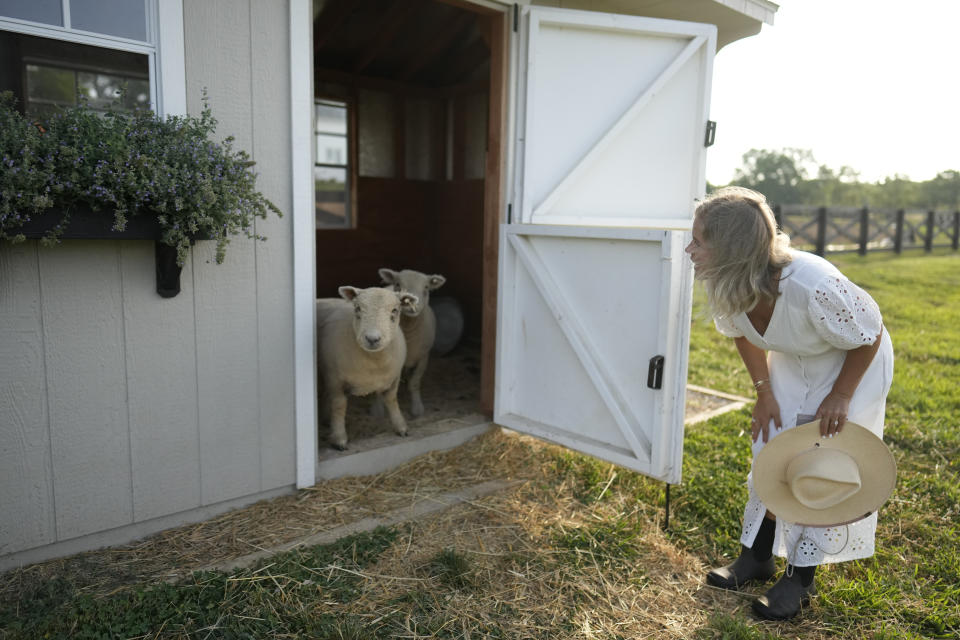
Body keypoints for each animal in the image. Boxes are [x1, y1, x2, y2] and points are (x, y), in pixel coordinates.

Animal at [316, 286, 418, 450]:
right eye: (357, 308)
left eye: (395, 310)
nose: (372, 339)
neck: (374, 362)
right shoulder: (335, 380)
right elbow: (339, 405)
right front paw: (339, 438)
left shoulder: (395, 377)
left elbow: (392, 400)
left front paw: (401, 427)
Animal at [376, 268, 448, 418]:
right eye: (398, 284)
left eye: (426, 287)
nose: (410, 303)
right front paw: (377, 410)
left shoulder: (423, 357)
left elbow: (414, 383)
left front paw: (417, 408)